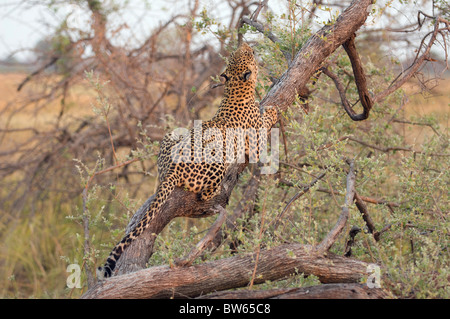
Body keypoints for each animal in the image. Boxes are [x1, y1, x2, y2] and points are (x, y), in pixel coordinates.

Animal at [97, 43, 278, 280]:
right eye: (248, 55)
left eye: (238, 53)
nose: (248, 45)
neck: (234, 90)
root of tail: (173, 169)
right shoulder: (255, 140)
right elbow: (266, 122)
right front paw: (273, 110)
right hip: (217, 160)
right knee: (204, 194)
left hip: (172, 136)